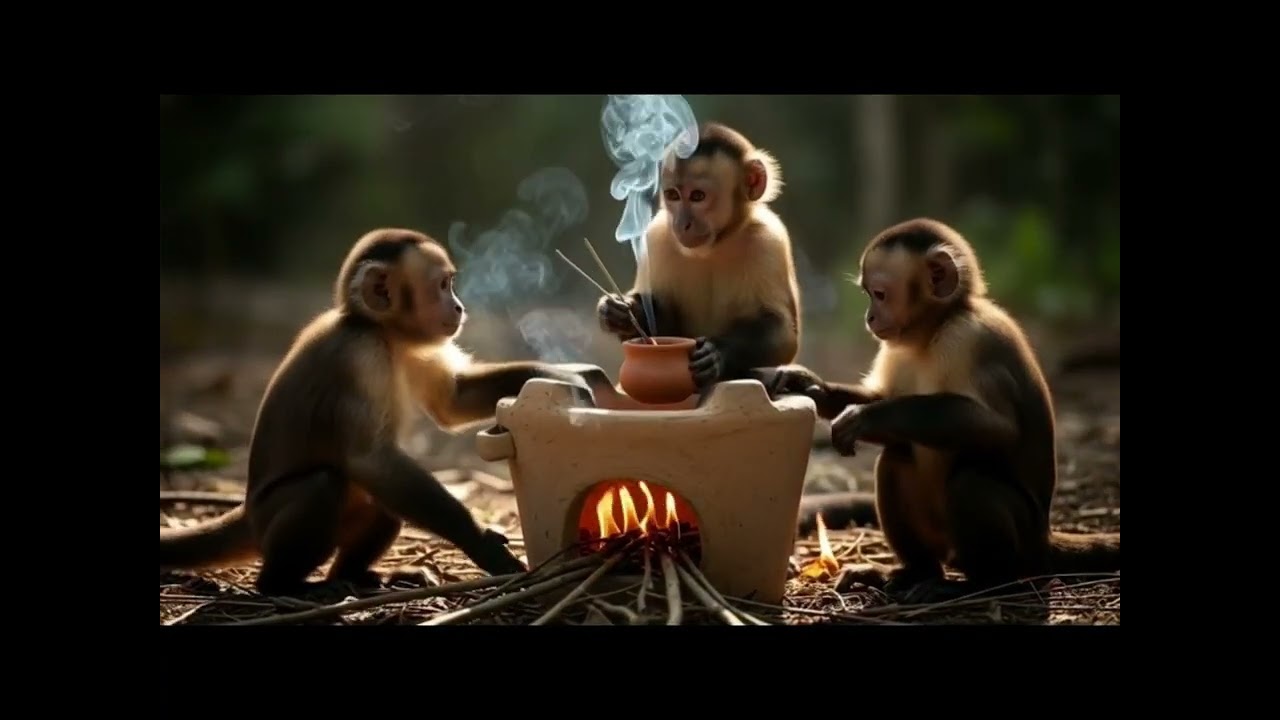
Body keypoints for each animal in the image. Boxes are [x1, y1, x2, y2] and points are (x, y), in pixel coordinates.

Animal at [160, 228, 613, 596]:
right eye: (443, 285)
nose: (459, 307)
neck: (379, 330)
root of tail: (248, 512)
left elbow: (454, 401)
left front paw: (572, 376)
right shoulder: (359, 356)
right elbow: (369, 460)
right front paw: (479, 541)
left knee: (381, 505)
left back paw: (355, 576)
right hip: (270, 518)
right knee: (328, 484)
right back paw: (284, 585)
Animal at [597, 122, 802, 391]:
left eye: (697, 196)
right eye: (673, 195)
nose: (682, 224)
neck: (715, 244)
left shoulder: (767, 241)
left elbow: (783, 334)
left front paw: (716, 355)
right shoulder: (657, 238)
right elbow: (661, 325)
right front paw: (625, 312)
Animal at [757, 218, 1119, 602]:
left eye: (879, 294)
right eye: (869, 295)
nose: (870, 317)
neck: (934, 330)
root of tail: (1045, 539)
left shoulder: (970, 338)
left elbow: (999, 429)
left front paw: (865, 418)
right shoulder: (896, 346)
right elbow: (879, 398)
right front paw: (808, 385)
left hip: (1025, 547)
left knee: (970, 483)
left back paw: (980, 585)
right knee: (896, 459)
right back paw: (916, 571)